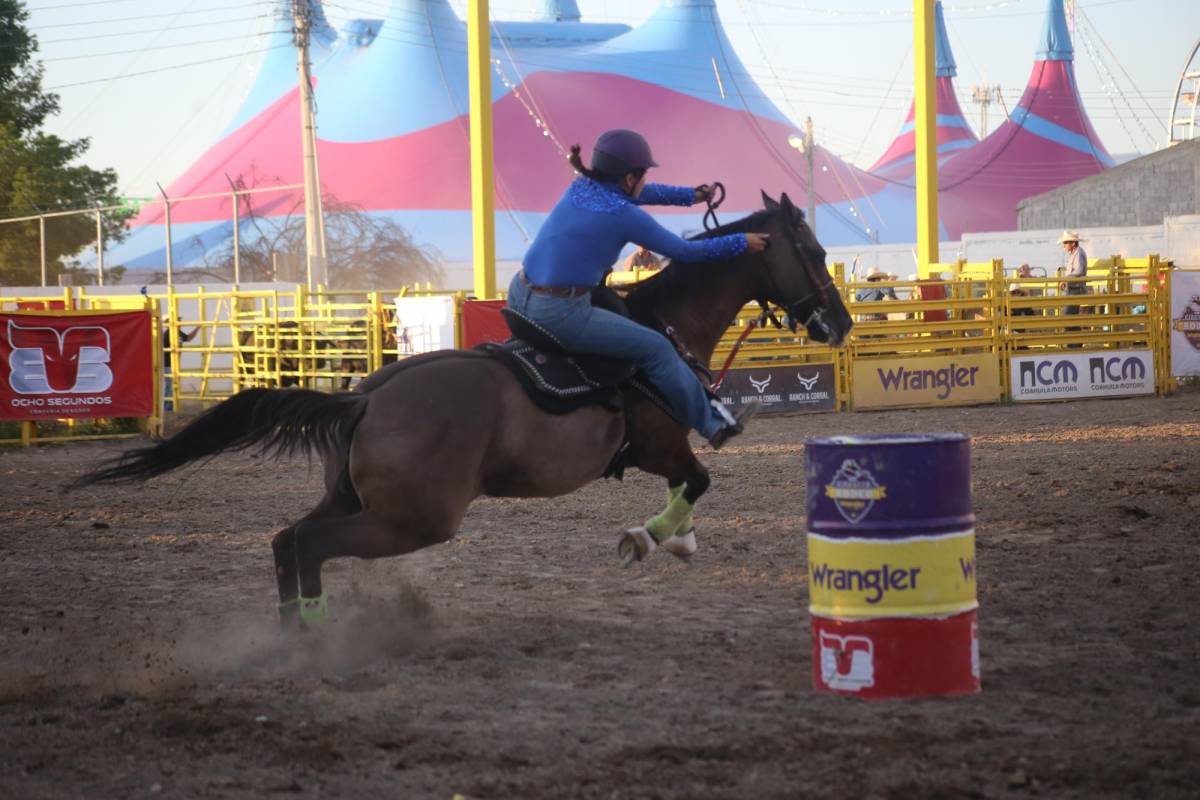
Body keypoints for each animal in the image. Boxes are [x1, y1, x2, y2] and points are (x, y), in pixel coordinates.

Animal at [75, 190, 854, 628]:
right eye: (814, 251)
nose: (841, 324)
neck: (661, 325)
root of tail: (363, 398)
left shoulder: (659, 453)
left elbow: (691, 487)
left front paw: (675, 540)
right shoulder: (664, 443)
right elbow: (698, 479)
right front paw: (649, 538)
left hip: (353, 496)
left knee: (285, 539)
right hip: (415, 517)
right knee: (308, 544)